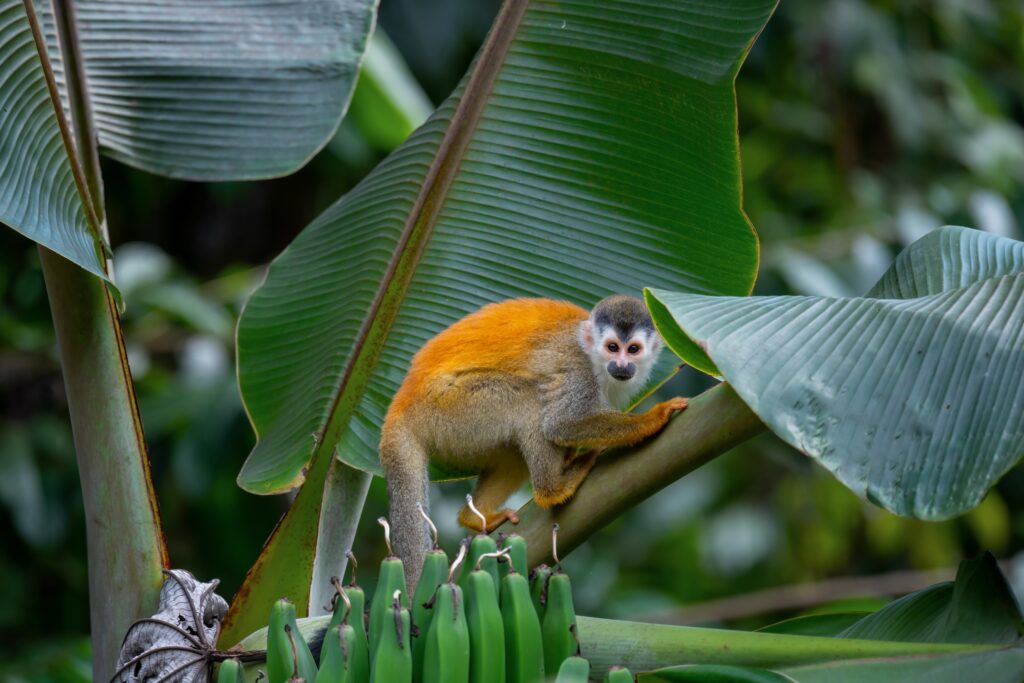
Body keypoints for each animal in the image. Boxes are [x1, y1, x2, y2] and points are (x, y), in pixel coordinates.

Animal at [380, 294, 684, 581]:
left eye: (633, 349)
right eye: (612, 347)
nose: (621, 364)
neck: (593, 356)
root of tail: (400, 405)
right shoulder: (577, 368)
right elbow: (562, 424)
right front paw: (653, 418)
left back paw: (475, 516)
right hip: (448, 408)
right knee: (530, 401)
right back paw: (553, 491)